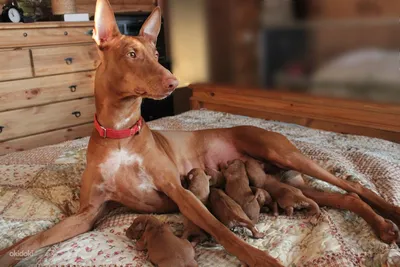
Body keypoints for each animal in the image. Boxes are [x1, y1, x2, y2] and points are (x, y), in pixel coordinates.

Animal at [1, 0, 398, 266]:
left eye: (156, 53)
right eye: (132, 53)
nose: (173, 80)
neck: (121, 133)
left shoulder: (180, 191)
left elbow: (219, 228)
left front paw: (259, 257)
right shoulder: (87, 214)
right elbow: (34, 239)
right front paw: (10, 252)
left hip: (282, 153)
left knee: (356, 187)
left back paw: (391, 214)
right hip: (283, 179)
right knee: (348, 198)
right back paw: (383, 227)